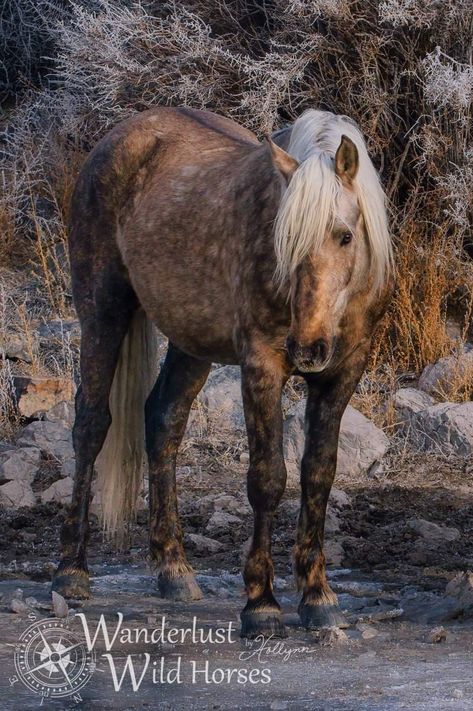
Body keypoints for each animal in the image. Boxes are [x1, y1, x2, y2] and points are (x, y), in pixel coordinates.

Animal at [50, 105, 390, 640]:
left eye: (346, 235)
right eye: (283, 242)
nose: (308, 347)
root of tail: (120, 136)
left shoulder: (342, 374)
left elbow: (318, 475)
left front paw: (319, 597)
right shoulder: (262, 366)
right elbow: (267, 479)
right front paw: (262, 603)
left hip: (191, 344)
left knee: (163, 421)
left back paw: (174, 571)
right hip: (103, 309)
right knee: (91, 424)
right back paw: (71, 571)